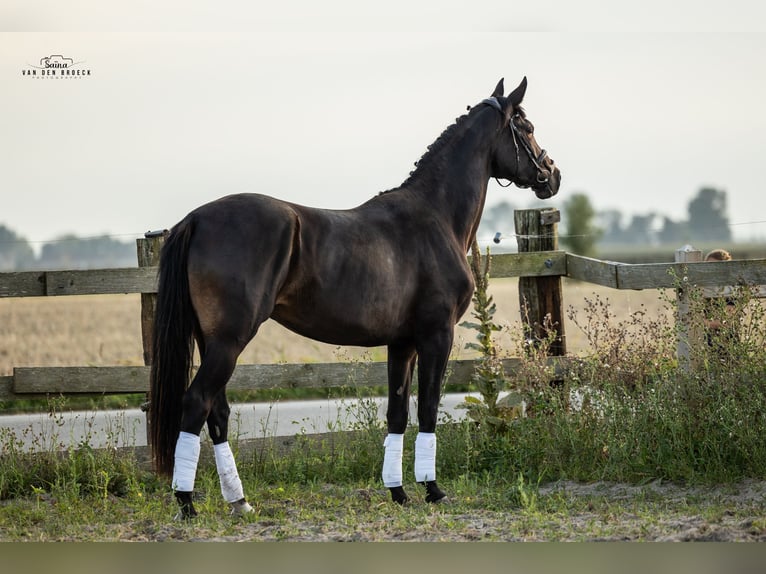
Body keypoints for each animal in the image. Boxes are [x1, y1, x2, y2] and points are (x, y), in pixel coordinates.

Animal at [150, 74, 560, 520]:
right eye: (527, 127)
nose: (552, 173)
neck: (436, 217)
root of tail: (196, 219)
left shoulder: (402, 343)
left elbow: (397, 413)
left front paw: (398, 492)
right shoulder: (437, 336)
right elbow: (428, 408)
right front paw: (433, 490)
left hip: (211, 341)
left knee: (217, 412)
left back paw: (240, 502)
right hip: (229, 340)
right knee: (196, 404)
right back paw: (187, 504)